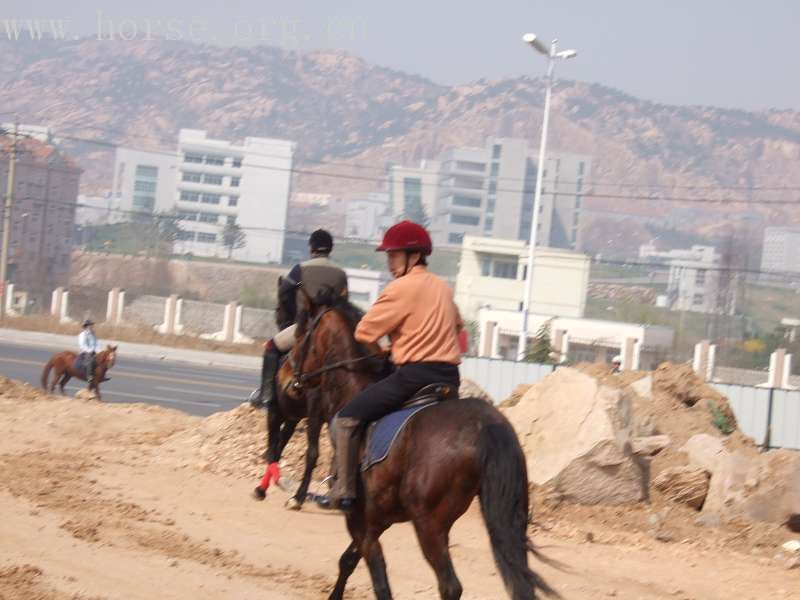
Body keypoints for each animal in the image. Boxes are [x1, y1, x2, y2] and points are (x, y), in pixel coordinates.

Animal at [272, 300, 552, 600]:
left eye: (300, 336)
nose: (284, 377)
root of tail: (486, 425)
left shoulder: (361, 521)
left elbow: (379, 581)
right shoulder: (378, 520)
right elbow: (347, 561)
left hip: (429, 525)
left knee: (450, 586)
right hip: (505, 523)